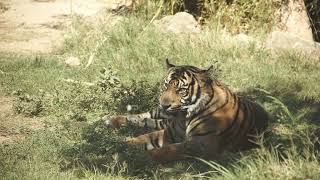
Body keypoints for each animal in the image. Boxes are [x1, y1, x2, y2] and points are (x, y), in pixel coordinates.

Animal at [104, 58, 268, 163]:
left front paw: (138, 157)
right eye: (165, 86)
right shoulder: (170, 133)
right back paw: (112, 120)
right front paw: (118, 146)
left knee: (148, 121)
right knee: (144, 116)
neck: (185, 117)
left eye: (181, 90)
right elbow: (141, 138)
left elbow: (166, 150)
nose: (164, 104)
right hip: (159, 115)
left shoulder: (200, 144)